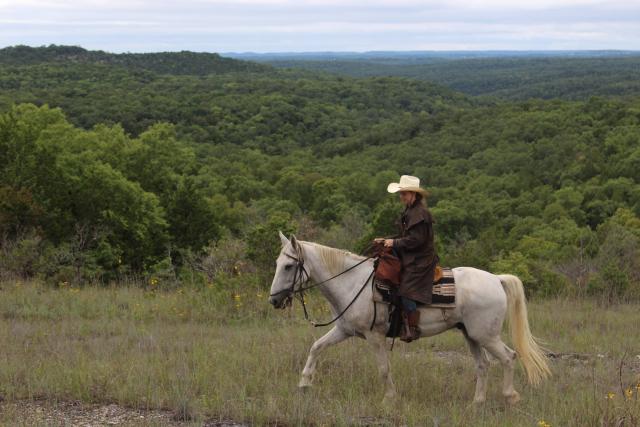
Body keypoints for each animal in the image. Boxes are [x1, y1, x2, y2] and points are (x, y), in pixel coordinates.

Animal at [268, 234, 552, 404]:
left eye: (289, 266)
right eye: (277, 263)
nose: (274, 301)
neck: (353, 283)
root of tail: (496, 279)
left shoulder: (375, 336)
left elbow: (383, 369)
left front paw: (389, 398)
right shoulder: (344, 330)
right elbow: (316, 347)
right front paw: (304, 383)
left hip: (486, 336)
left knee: (508, 357)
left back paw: (510, 396)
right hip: (471, 335)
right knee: (483, 365)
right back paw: (477, 403)